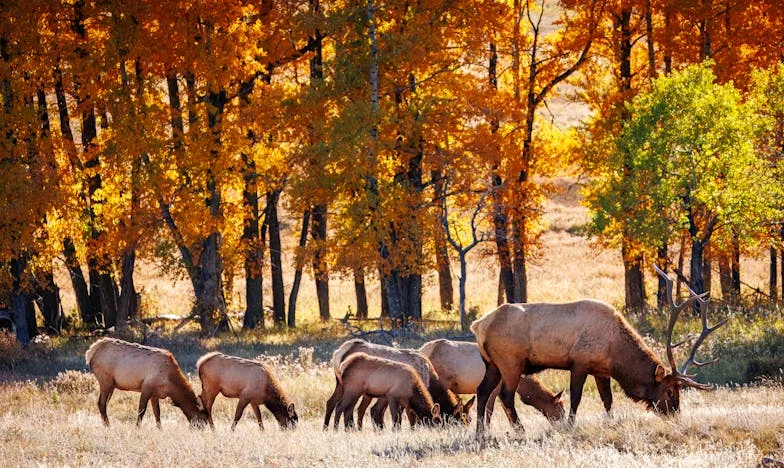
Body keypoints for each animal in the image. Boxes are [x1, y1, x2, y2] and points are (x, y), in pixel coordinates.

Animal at [324, 338, 468, 430]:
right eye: (459, 416)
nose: (465, 425)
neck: (431, 381)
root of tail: (337, 353)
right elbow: (407, 415)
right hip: (353, 387)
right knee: (347, 407)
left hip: (341, 384)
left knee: (331, 402)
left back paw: (327, 428)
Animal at [468, 266, 724, 436]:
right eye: (670, 391)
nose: (675, 414)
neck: (615, 353)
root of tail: (478, 325)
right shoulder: (580, 362)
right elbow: (576, 397)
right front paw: (570, 426)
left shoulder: (601, 370)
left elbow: (607, 400)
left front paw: (610, 422)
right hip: (510, 362)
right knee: (505, 396)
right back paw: (520, 431)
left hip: (491, 363)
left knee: (482, 392)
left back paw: (481, 433)